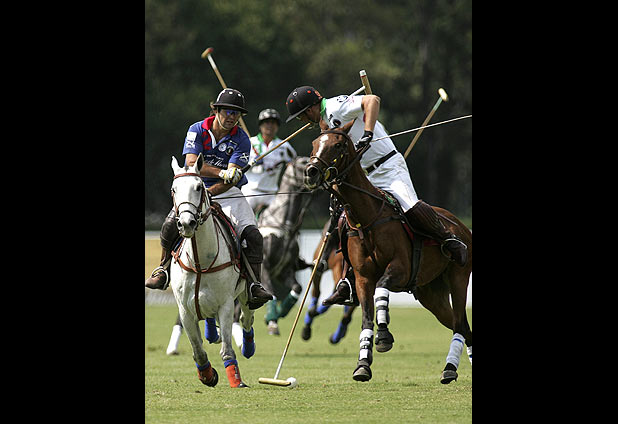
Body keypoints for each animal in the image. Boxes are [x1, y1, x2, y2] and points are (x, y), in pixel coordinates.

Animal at [168, 154, 256, 388]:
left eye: (199, 187)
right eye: (174, 189)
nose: (186, 223)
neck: (200, 262)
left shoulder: (225, 304)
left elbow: (227, 349)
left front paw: (236, 380)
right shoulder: (185, 309)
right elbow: (198, 350)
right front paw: (207, 375)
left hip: (246, 293)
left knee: (247, 319)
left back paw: (248, 346)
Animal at [304, 126, 472, 384]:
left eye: (338, 145)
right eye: (314, 144)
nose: (311, 172)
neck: (367, 218)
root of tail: (462, 227)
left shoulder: (400, 268)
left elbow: (382, 288)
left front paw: (383, 336)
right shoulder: (362, 278)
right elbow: (366, 317)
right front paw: (363, 365)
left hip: (458, 277)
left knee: (460, 323)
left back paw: (450, 369)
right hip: (431, 294)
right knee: (461, 325)